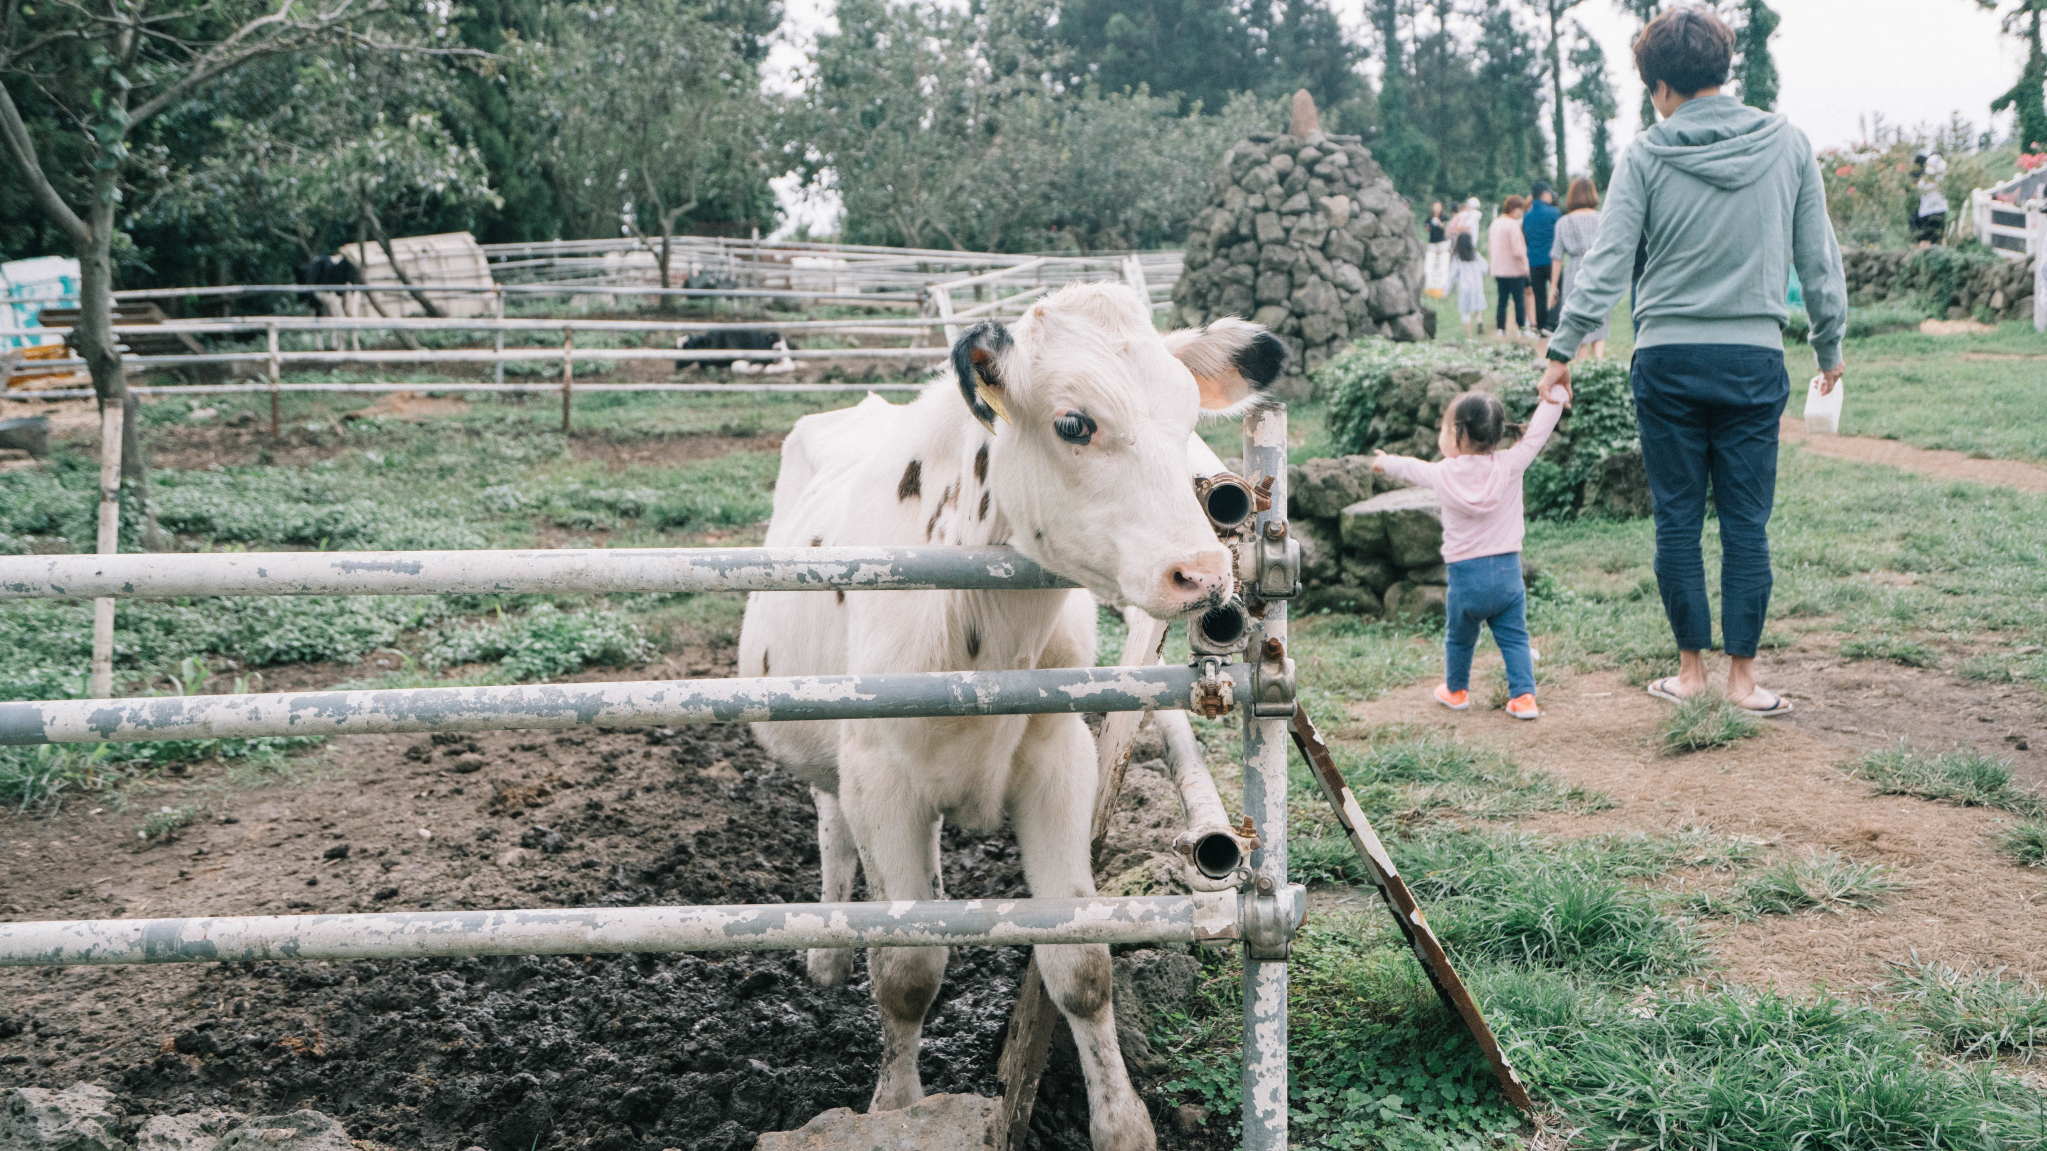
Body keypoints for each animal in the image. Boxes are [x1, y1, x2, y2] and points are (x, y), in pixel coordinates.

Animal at [736, 280, 1277, 1146]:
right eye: (1073, 422)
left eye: (1189, 410)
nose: (1198, 571)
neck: (979, 634)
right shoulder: (879, 778)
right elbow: (906, 969)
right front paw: (897, 1108)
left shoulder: (1057, 763)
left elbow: (1080, 964)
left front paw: (1122, 1124)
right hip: (824, 750)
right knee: (831, 826)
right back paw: (826, 952)